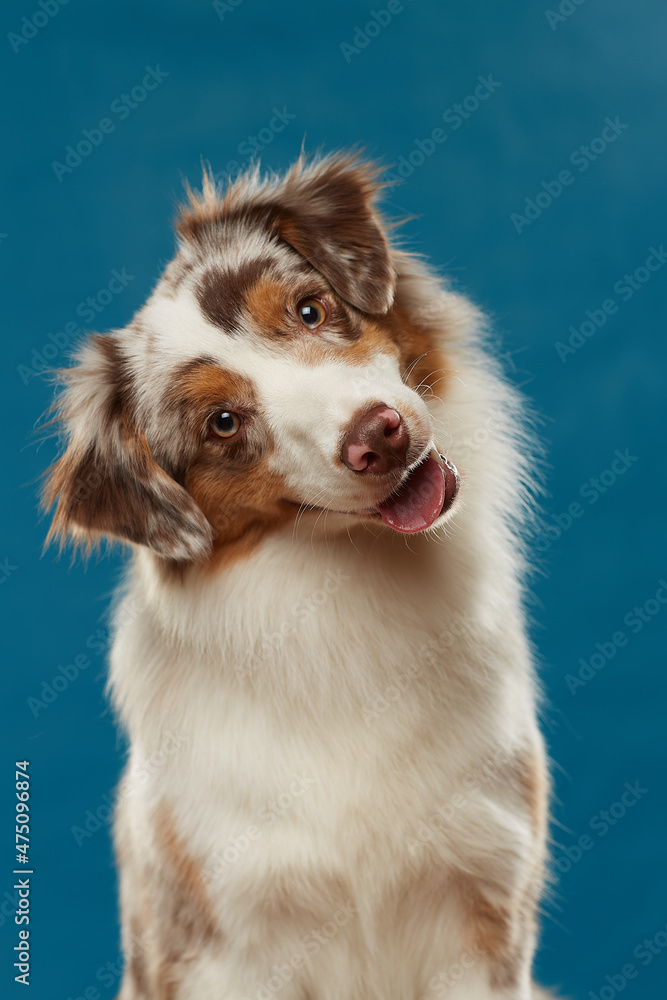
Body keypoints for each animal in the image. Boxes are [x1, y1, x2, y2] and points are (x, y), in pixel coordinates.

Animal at [45, 156, 552, 1000]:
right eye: (222, 424)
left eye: (310, 310)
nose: (380, 435)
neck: (345, 588)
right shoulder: (226, 939)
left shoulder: (483, 904)